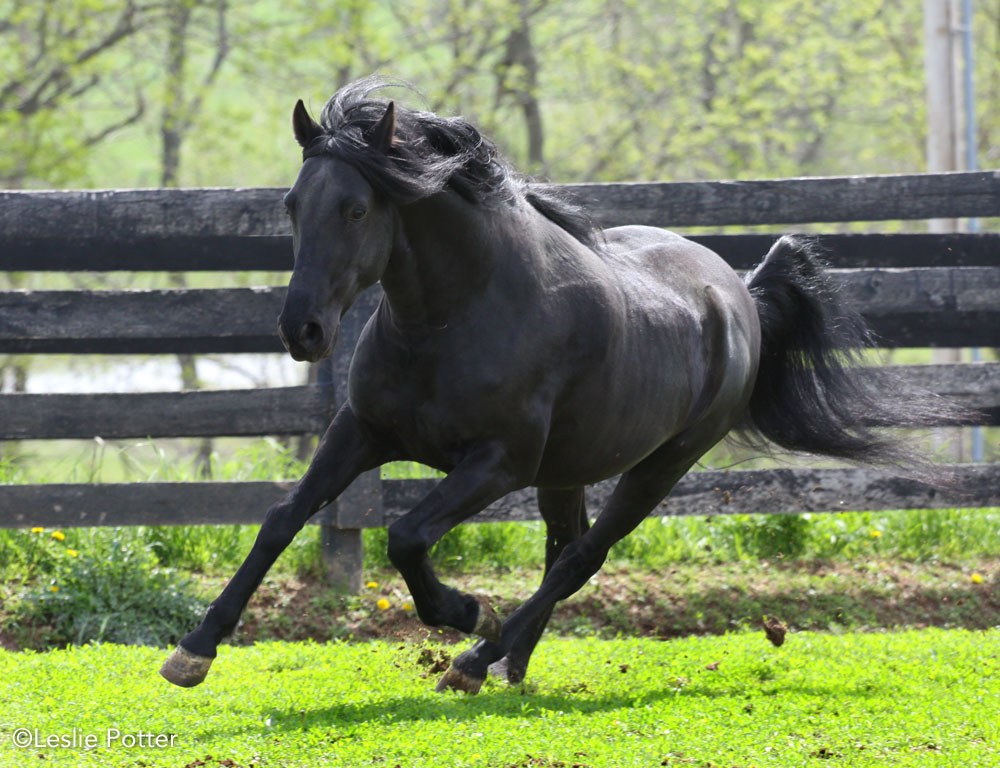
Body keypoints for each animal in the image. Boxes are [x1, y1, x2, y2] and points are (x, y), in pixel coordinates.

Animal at [162, 78, 952, 696]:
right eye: (292, 204)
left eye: (356, 209)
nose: (302, 330)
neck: (453, 318)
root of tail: (741, 292)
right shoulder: (363, 432)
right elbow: (281, 518)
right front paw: (193, 651)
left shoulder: (497, 463)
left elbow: (408, 537)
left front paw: (466, 612)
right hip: (567, 469)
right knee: (563, 550)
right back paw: (508, 665)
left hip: (662, 465)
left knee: (581, 557)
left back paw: (478, 657)